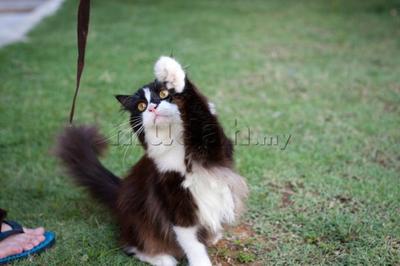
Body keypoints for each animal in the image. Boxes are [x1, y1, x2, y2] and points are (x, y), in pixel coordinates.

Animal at [55, 56, 250, 266]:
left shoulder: (212, 147)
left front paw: (169, 70)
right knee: (130, 245)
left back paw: (213, 236)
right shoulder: (175, 198)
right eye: (141, 106)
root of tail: (120, 191)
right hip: (138, 220)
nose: (152, 107)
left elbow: (197, 108)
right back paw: (163, 259)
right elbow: (191, 242)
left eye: (164, 94)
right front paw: (200, 263)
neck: (176, 144)